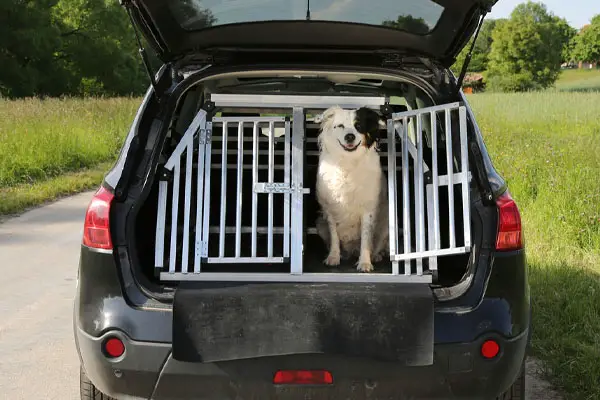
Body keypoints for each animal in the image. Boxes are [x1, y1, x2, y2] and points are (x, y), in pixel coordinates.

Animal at [314, 104, 390, 274]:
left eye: (359, 126)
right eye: (340, 126)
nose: (350, 137)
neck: (348, 162)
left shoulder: (368, 209)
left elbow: (366, 238)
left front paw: (365, 262)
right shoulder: (330, 210)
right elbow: (334, 236)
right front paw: (333, 257)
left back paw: (376, 256)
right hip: (320, 224)